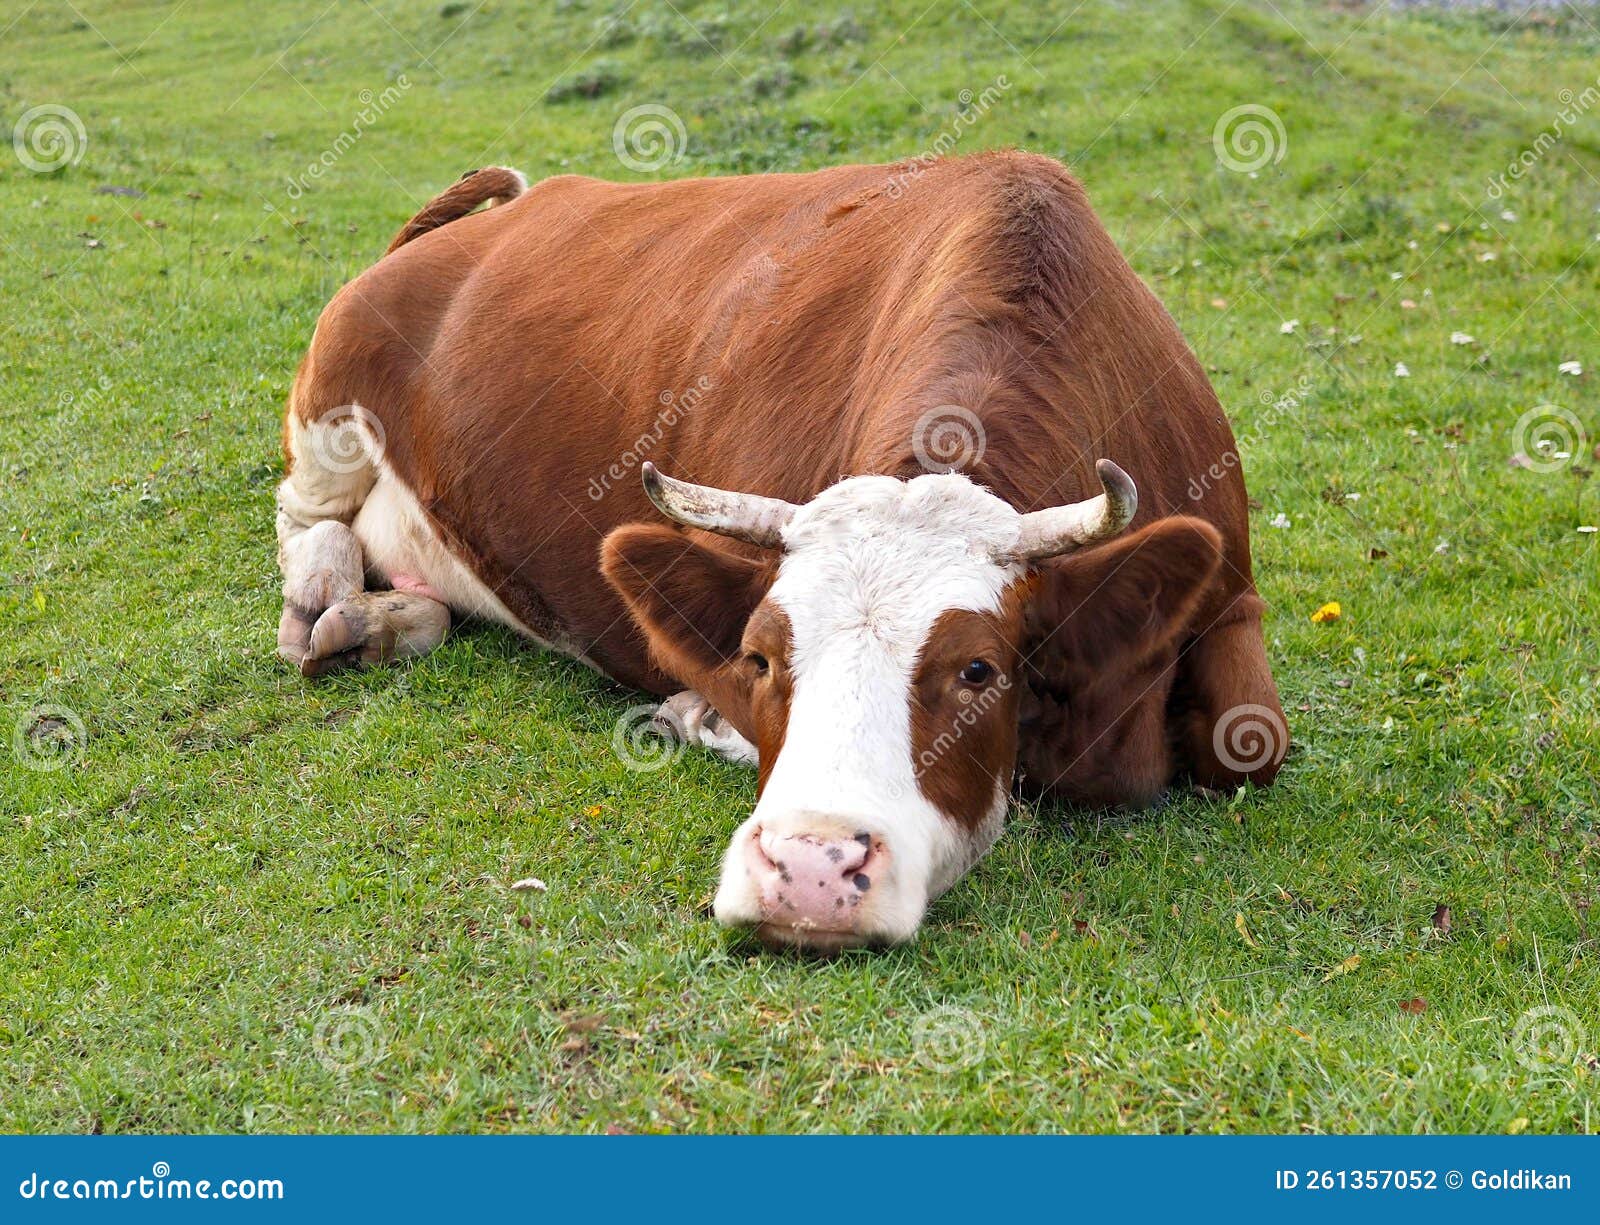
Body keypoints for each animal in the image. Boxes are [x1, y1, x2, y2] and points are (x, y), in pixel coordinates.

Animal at [274, 152, 1287, 952]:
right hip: (333, 389)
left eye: (979, 671)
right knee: (306, 515)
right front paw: (698, 717)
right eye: (760, 655)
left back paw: (380, 619)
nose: (808, 871)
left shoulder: (1231, 589)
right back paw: (324, 601)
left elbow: (1252, 743)